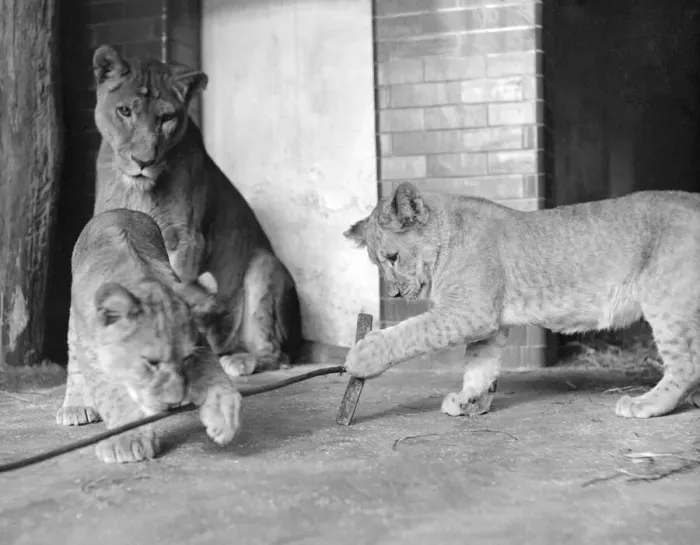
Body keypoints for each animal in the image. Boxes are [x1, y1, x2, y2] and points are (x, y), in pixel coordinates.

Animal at [56, 208, 242, 463]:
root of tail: (119, 210)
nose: (173, 400)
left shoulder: (199, 342)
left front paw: (223, 414)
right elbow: (114, 395)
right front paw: (128, 439)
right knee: (74, 365)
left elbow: (214, 373)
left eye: (186, 359)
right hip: (75, 325)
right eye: (151, 362)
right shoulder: (96, 352)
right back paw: (75, 407)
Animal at [89, 44, 346, 377]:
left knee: (277, 354)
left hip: (263, 264)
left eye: (166, 118)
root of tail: (300, 337)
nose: (143, 161)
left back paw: (239, 361)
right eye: (124, 111)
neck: (137, 187)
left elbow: (176, 286)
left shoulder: (185, 238)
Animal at [343, 182, 700, 419]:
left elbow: (412, 332)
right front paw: (470, 400)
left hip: (665, 299)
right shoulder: (488, 323)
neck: (446, 239)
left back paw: (645, 403)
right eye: (378, 263)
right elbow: (480, 364)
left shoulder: (470, 311)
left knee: (686, 365)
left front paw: (362, 356)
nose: (394, 294)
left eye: (392, 258)